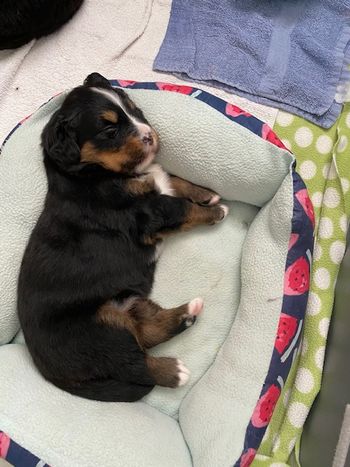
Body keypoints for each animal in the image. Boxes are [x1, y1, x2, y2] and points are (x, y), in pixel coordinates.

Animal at [17, 72, 228, 402]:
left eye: (135, 109)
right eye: (110, 129)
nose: (149, 136)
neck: (91, 174)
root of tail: (49, 373)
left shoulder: (157, 189)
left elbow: (174, 181)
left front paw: (206, 194)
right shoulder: (148, 212)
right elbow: (182, 207)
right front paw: (215, 211)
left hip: (128, 303)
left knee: (148, 332)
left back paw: (189, 313)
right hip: (99, 333)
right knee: (136, 364)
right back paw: (175, 371)